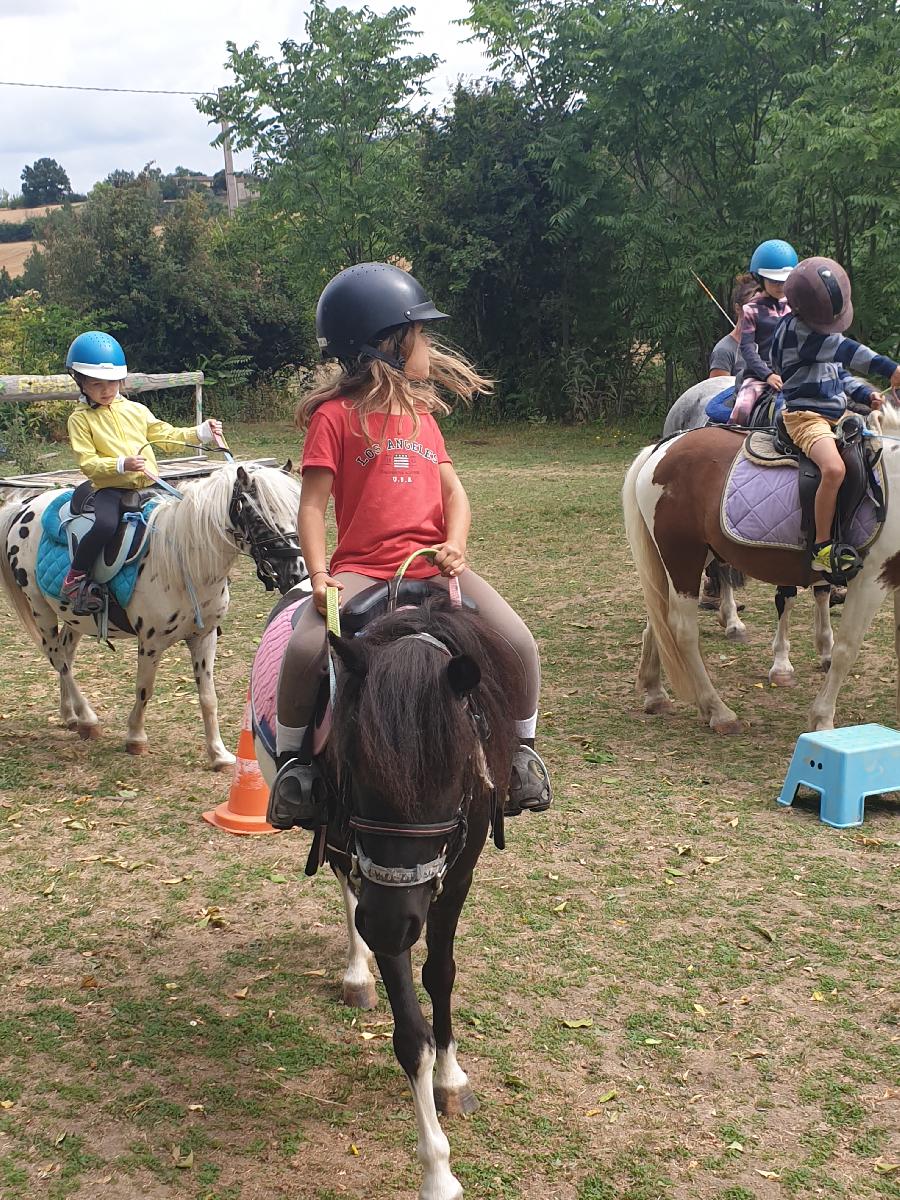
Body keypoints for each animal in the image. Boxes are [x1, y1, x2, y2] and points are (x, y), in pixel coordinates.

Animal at [0, 463, 307, 763]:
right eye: (259, 519)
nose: (297, 574)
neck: (184, 564)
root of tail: (24, 506)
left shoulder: (205, 637)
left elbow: (209, 697)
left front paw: (219, 753)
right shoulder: (150, 643)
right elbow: (144, 689)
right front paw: (135, 737)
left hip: (73, 616)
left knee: (66, 653)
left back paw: (71, 716)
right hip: (40, 609)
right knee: (57, 658)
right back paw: (87, 718)